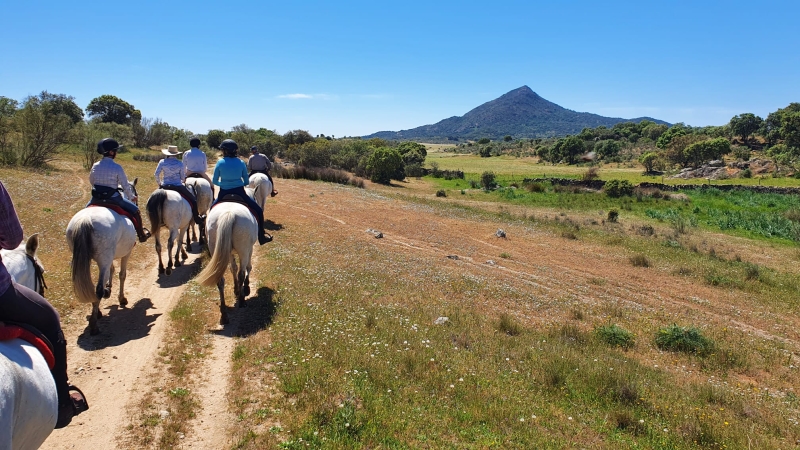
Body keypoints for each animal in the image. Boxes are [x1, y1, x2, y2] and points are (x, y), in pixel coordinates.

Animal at [67, 178, 141, 336]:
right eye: (135, 194)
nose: (136, 202)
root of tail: (86, 220)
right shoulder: (126, 253)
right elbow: (122, 274)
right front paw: (121, 298)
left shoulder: (109, 258)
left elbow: (111, 270)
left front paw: (109, 288)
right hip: (105, 257)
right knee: (98, 288)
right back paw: (94, 324)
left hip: (88, 258)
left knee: (95, 286)